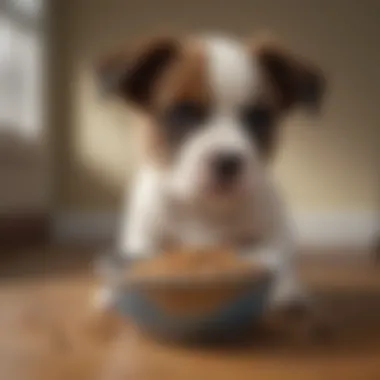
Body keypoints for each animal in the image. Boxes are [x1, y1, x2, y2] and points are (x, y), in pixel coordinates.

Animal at [94, 33, 326, 326]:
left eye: (259, 116)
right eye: (183, 112)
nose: (227, 161)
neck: (205, 207)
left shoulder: (273, 230)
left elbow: (276, 259)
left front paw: (283, 292)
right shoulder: (145, 235)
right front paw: (113, 295)